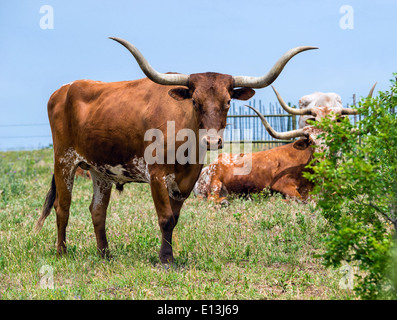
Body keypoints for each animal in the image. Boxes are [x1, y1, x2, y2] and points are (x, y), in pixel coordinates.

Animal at [35, 37, 318, 264]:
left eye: (228, 102)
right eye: (195, 102)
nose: (213, 141)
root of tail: (63, 90)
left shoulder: (187, 179)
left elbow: (174, 218)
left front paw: (168, 255)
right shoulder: (157, 175)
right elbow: (165, 218)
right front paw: (165, 260)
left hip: (101, 170)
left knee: (97, 211)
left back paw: (105, 254)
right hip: (64, 160)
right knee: (63, 207)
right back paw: (62, 252)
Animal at [193, 84, 376, 205]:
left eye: (332, 141)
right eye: (311, 142)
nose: (321, 160)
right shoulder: (281, 184)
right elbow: (300, 199)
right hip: (214, 182)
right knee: (211, 199)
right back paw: (224, 201)